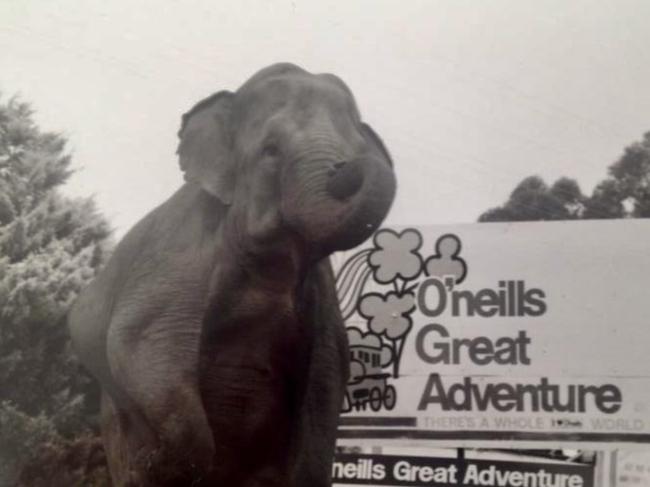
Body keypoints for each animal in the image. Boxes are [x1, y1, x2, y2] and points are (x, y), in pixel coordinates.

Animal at [69, 63, 394, 486]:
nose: (347, 168)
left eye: (357, 144)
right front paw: (174, 463)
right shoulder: (182, 252)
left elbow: (328, 376)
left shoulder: (323, 300)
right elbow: (139, 340)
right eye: (270, 150)